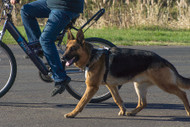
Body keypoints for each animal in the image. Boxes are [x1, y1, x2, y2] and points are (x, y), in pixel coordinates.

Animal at [62, 29, 190, 118]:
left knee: (182, 93)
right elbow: (117, 99)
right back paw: (132, 112)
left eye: (73, 48)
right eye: (66, 47)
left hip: (164, 85)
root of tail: (161, 59)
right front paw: (123, 111)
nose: (62, 58)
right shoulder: (111, 86)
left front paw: (72, 114)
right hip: (139, 86)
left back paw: (188, 111)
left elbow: (81, 102)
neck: (91, 56)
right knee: (143, 103)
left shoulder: (92, 87)